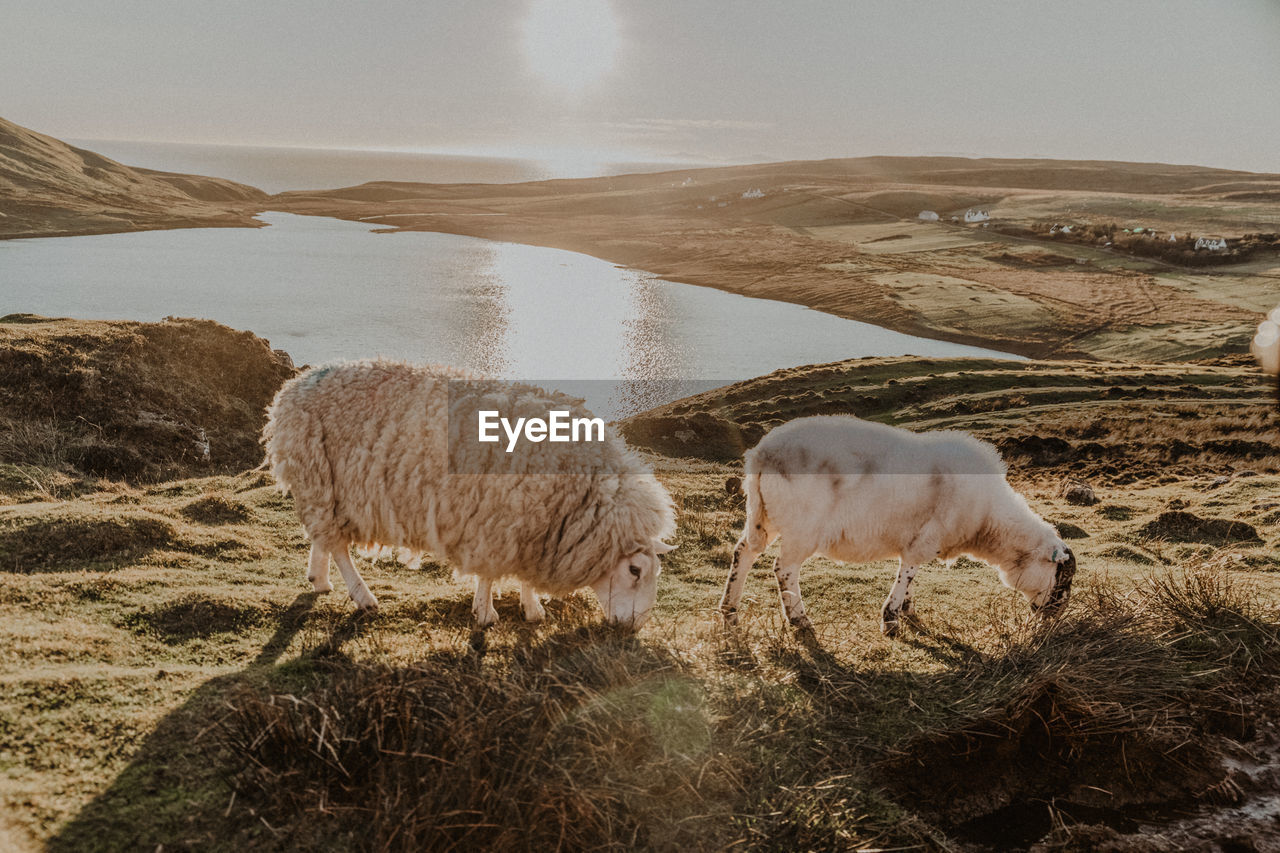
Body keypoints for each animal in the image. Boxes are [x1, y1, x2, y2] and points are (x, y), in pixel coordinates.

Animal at [262, 356, 680, 627]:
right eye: (635, 570)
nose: (633, 628)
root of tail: (292, 387)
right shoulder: (496, 523)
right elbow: (489, 575)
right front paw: (485, 613)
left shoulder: (532, 527)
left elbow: (523, 576)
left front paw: (532, 608)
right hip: (318, 475)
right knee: (338, 546)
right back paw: (363, 596)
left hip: (324, 486)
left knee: (324, 536)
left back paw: (319, 579)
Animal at [716, 414, 1075, 635]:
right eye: (1062, 578)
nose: (1053, 620)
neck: (989, 522)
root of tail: (761, 453)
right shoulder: (925, 538)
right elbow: (908, 571)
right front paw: (890, 619)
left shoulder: (922, 538)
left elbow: (913, 574)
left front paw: (905, 608)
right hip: (802, 526)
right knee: (783, 568)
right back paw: (799, 618)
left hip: (763, 515)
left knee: (744, 551)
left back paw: (729, 607)